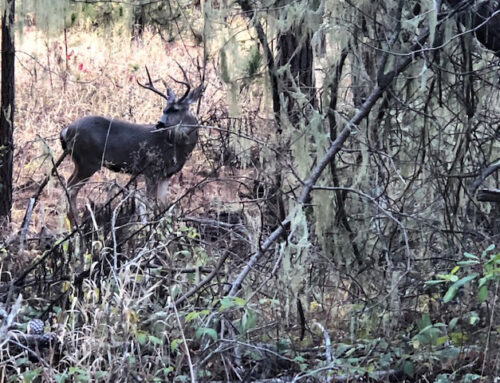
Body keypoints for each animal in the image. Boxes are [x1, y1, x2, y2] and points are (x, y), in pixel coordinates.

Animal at [60, 67, 203, 226]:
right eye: (165, 109)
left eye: (176, 109)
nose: (159, 123)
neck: (175, 149)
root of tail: (67, 130)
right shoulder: (150, 169)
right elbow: (150, 203)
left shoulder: (166, 174)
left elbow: (162, 204)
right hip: (88, 161)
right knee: (71, 189)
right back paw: (77, 223)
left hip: (79, 161)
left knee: (68, 185)